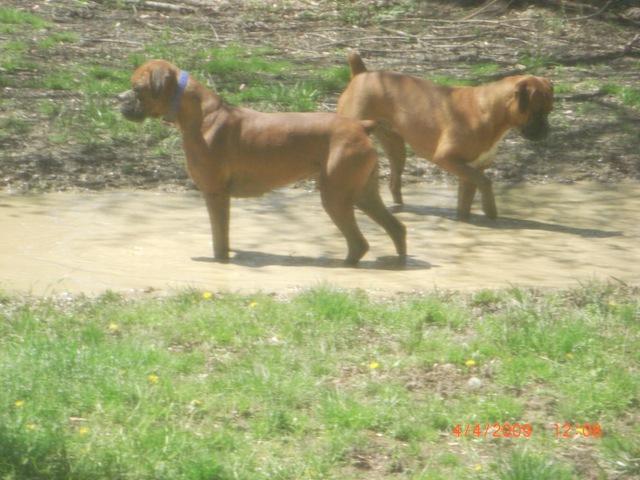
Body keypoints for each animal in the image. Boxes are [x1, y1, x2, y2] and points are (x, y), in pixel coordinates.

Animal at [119, 59, 404, 266]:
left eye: (136, 88)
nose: (118, 98)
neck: (200, 115)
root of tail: (361, 126)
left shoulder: (215, 194)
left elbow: (219, 238)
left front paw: (220, 260)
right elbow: (222, 234)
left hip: (336, 195)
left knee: (359, 242)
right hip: (362, 194)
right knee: (397, 227)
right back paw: (399, 260)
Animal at [338, 52, 552, 219]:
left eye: (549, 111)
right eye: (536, 112)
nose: (547, 131)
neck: (489, 110)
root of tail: (362, 74)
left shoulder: (471, 169)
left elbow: (466, 201)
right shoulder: (448, 159)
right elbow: (486, 182)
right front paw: (490, 210)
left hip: (396, 150)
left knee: (394, 183)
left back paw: (398, 207)